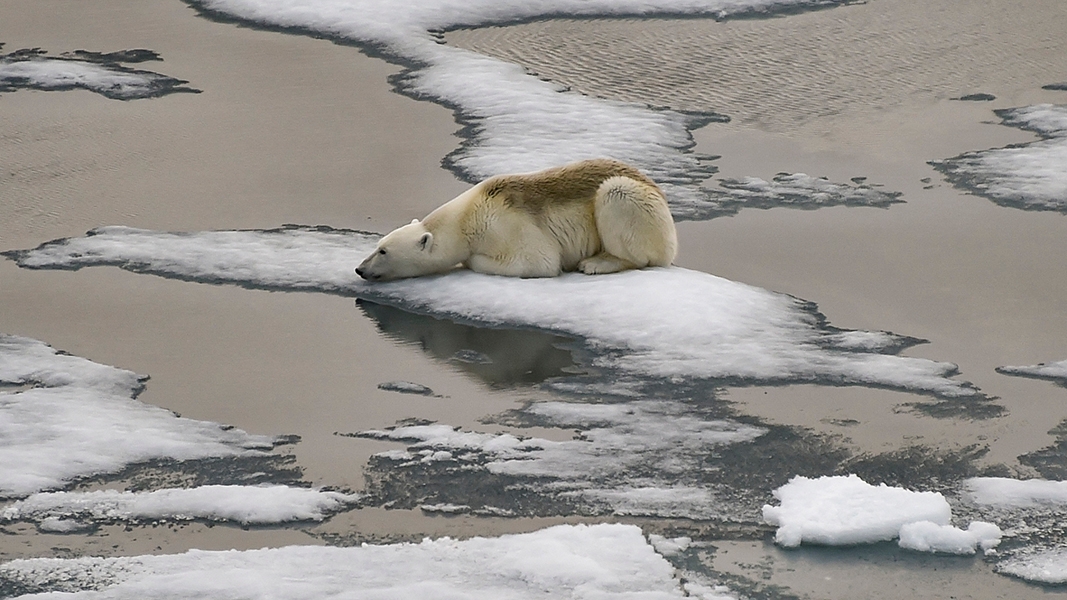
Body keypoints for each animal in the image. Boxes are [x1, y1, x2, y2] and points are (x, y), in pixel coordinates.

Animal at [356, 159, 674, 279]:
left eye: (383, 251)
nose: (360, 269)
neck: (468, 216)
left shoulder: (505, 224)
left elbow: (538, 261)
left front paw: (472, 260)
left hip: (640, 206)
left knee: (617, 196)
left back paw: (596, 263)